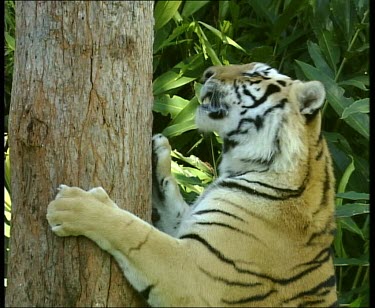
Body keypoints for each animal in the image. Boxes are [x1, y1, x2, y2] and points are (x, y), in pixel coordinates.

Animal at [46, 61, 338, 306]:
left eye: (253, 74)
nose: (207, 72)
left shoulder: (196, 273)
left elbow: (135, 232)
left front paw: (74, 206)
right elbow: (169, 203)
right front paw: (158, 151)